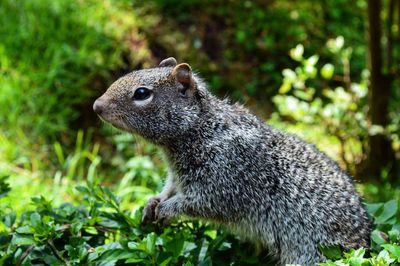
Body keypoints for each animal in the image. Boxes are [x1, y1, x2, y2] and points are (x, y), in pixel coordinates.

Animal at [94, 57, 372, 264]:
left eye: (142, 93)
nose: (97, 106)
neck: (201, 128)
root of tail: (364, 244)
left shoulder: (225, 178)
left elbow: (198, 203)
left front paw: (167, 209)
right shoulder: (177, 177)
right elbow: (170, 189)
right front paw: (153, 202)